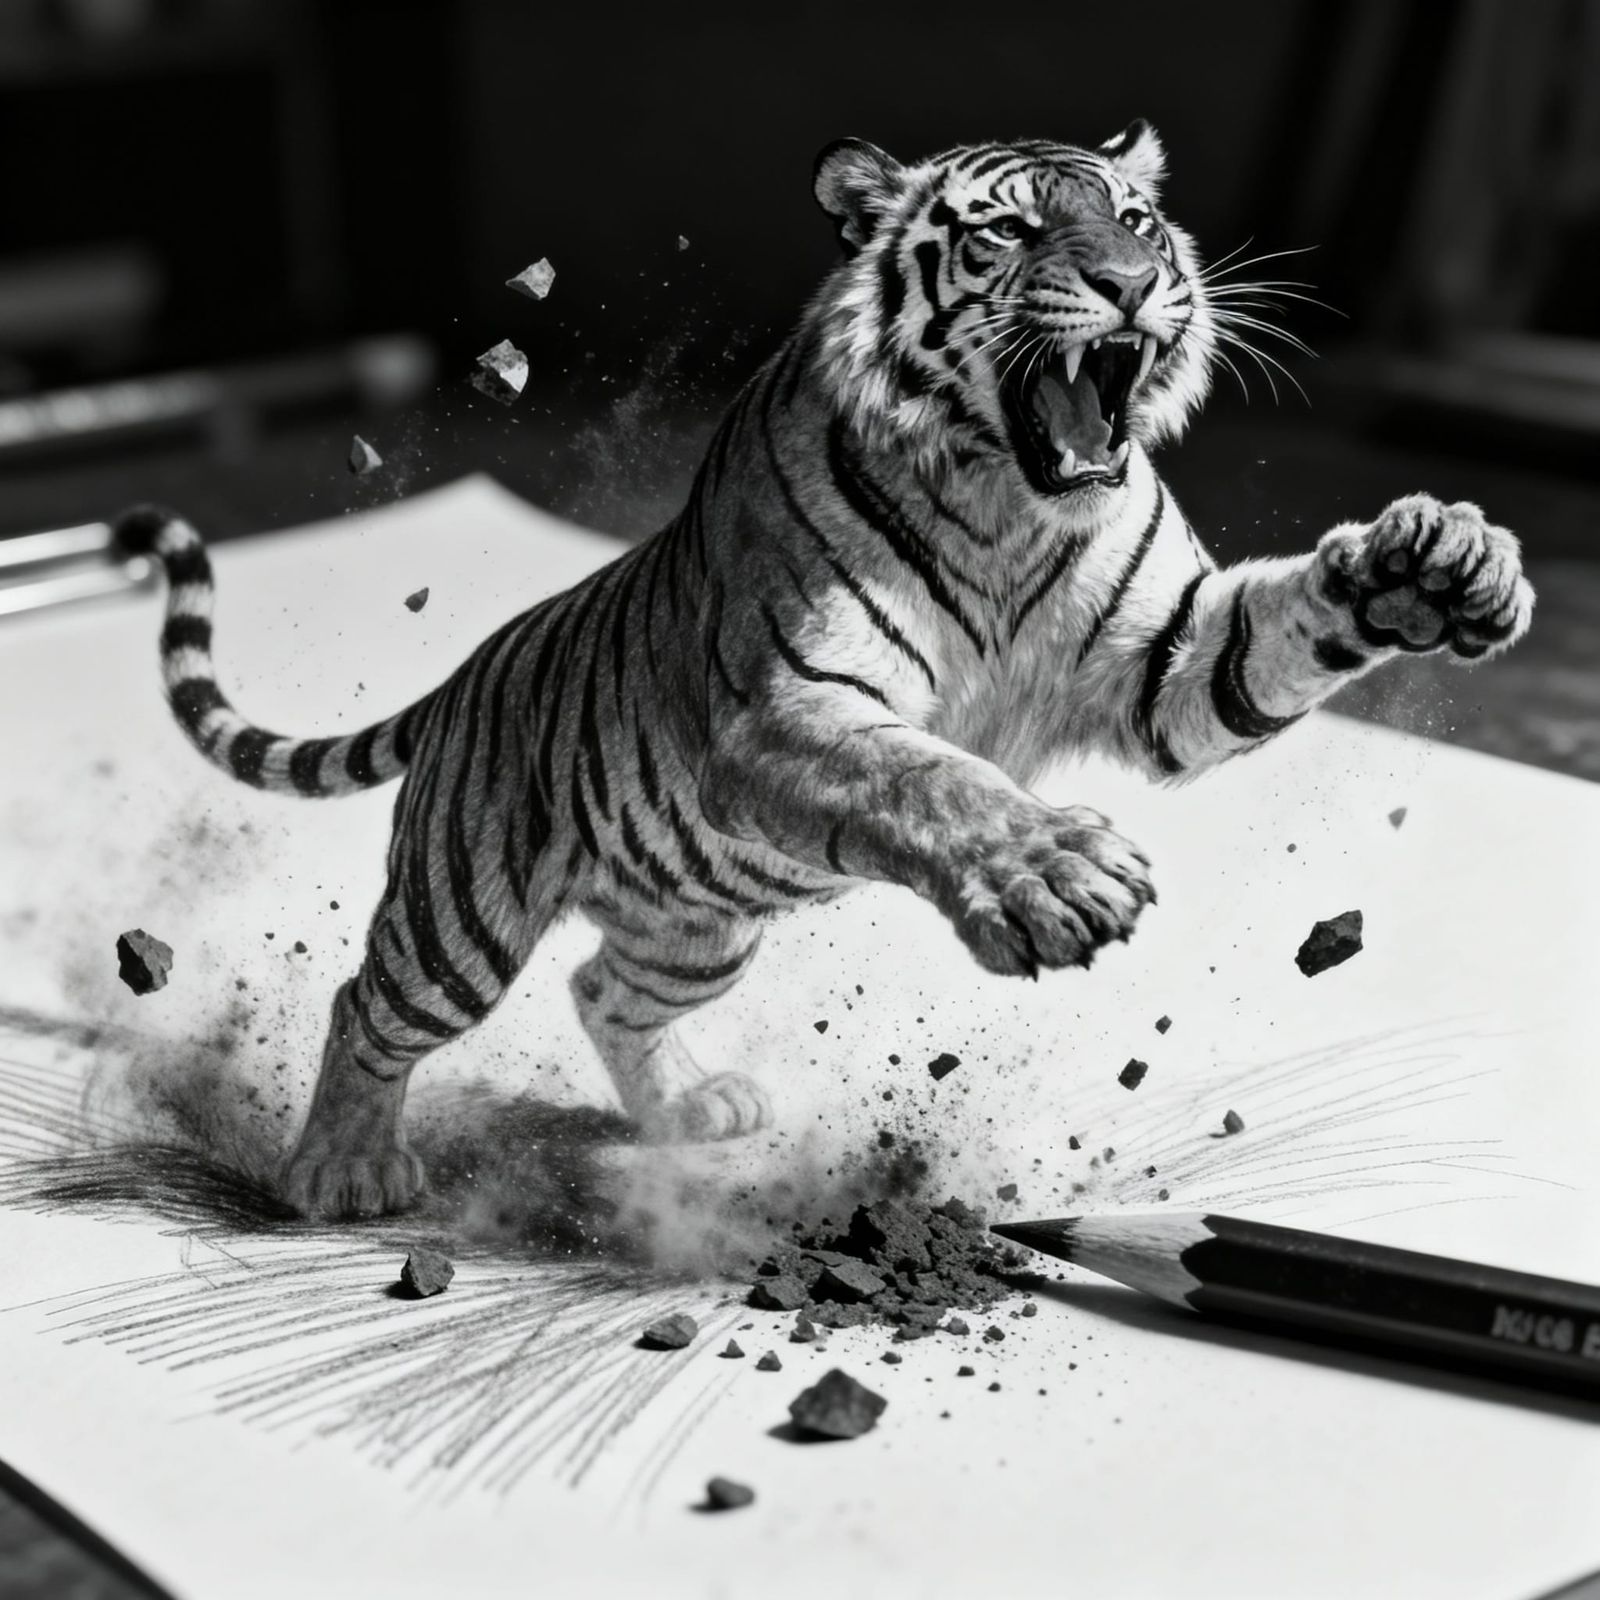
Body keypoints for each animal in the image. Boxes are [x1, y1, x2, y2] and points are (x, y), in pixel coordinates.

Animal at [117, 121, 1534, 1219]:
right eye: (1010, 233)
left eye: (1136, 220)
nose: (1133, 284)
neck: (1013, 500)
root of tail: (473, 667)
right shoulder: (788, 705)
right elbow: (931, 778)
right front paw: (1054, 871)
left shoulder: (1168, 660)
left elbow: (1277, 625)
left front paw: (1434, 565)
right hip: (464, 912)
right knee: (371, 999)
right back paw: (340, 1171)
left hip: (691, 926)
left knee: (601, 985)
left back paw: (692, 1106)